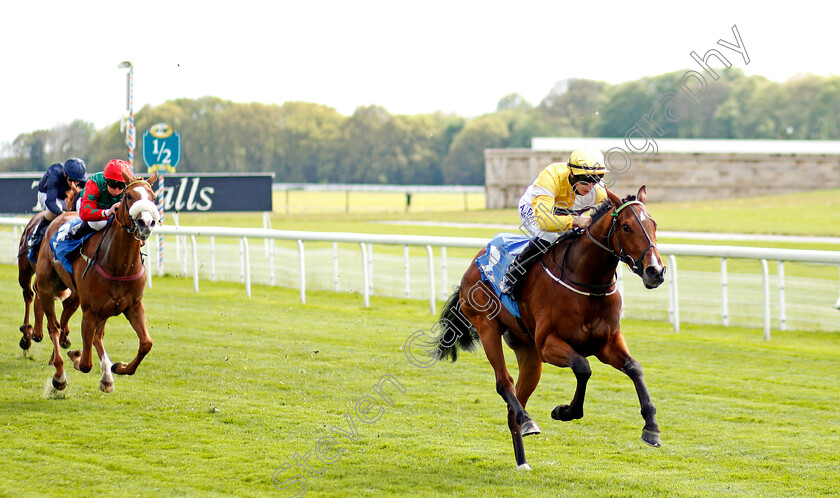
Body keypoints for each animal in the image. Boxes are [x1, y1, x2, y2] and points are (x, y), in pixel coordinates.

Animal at [34, 170, 159, 392]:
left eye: (152, 198)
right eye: (129, 196)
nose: (146, 223)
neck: (119, 265)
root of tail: (62, 216)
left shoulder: (133, 305)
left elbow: (146, 343)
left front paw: (120, 367)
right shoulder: (90, 311)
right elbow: (85, 364)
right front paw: (76, 355)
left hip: (99, 306)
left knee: (95, 335)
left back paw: (106, 376)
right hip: (47, 288)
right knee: (54, 327)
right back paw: (59, 374)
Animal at [434, 187, 664, 470]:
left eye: (654, 224)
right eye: (626, 226)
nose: (656, 271)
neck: (587, 281)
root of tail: (476, 260)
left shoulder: (607, 343)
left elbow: (634, 368)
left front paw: (651, 428)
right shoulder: (548, 345)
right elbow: (583, 367)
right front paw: (565, 411)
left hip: (529, 353)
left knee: (514, 406)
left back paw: (522, 459)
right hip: (488, 328)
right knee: (504, 383)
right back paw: (528, 421)